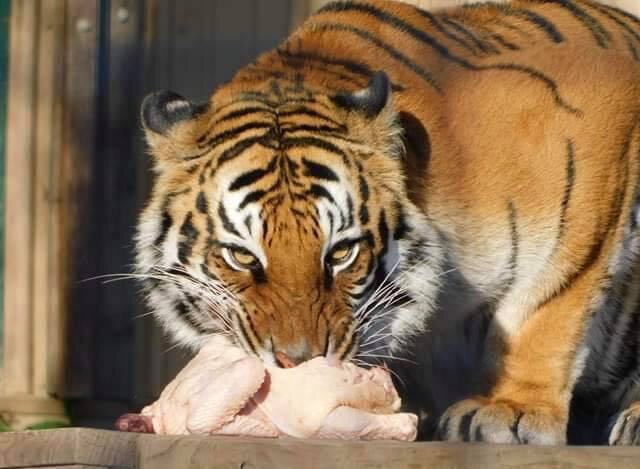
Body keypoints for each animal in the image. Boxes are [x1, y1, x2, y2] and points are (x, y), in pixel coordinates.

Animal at [136, 0, 640, 444]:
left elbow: (544, 306)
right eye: (242, 258)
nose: (299, 362)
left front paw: (509, 408)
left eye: (341, 253)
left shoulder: (597, 136)